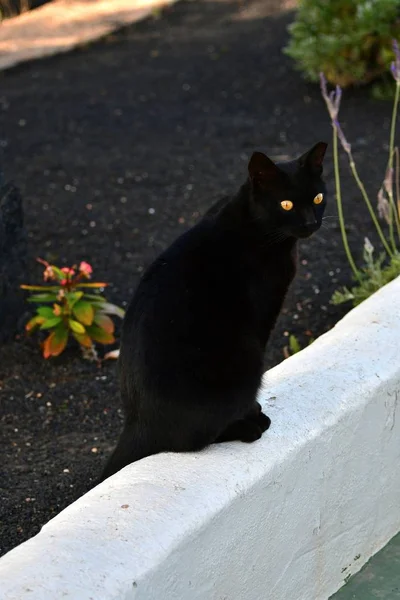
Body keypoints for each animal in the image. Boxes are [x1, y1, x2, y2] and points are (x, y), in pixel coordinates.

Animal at [99, 142, 324, 482]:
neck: (255, 226)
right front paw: (252, 411)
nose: (311, 223)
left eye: (318, 198)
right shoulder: (262, 314)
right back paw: (248, 427)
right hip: (247, 359)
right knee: (191, 441)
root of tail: (137, 422)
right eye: (286, 204)